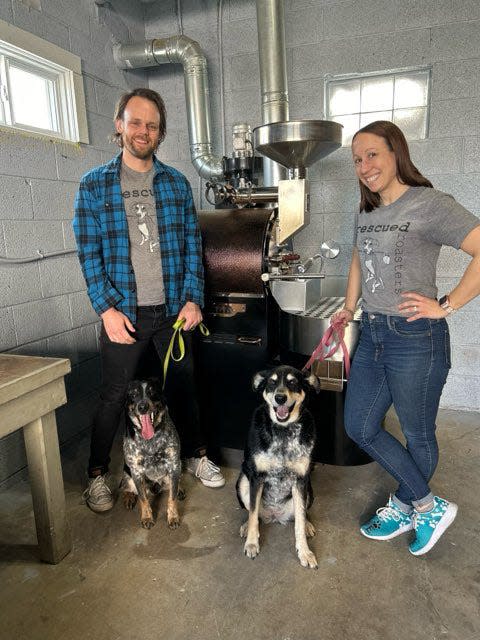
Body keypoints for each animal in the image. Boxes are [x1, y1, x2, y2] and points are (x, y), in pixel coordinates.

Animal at [122, 380, 182, 528]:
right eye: (133, 394)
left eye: (152, 392)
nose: (143, 406)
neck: (150, 441)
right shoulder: (136, 471)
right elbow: (143, 499)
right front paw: (147, 517)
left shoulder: (174, 465)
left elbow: (172, 497)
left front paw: (173, 517)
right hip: (126, 472)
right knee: (127, 487)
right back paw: (129, 497)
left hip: (179, 466)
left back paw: (180, 489)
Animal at [235, 368, 318, 568]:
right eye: (271, 382)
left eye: (293, 382)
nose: (280, 398)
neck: (283, 430)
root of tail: (274, 515)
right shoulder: (256, 477)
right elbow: (252, 513)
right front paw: (251, 543)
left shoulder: (300, 479)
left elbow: (300, 521)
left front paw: (305, 552)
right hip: (243, 480)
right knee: (253, 513)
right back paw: (246, 526)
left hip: (309, 489)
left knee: (302, 514)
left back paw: (308, 525)